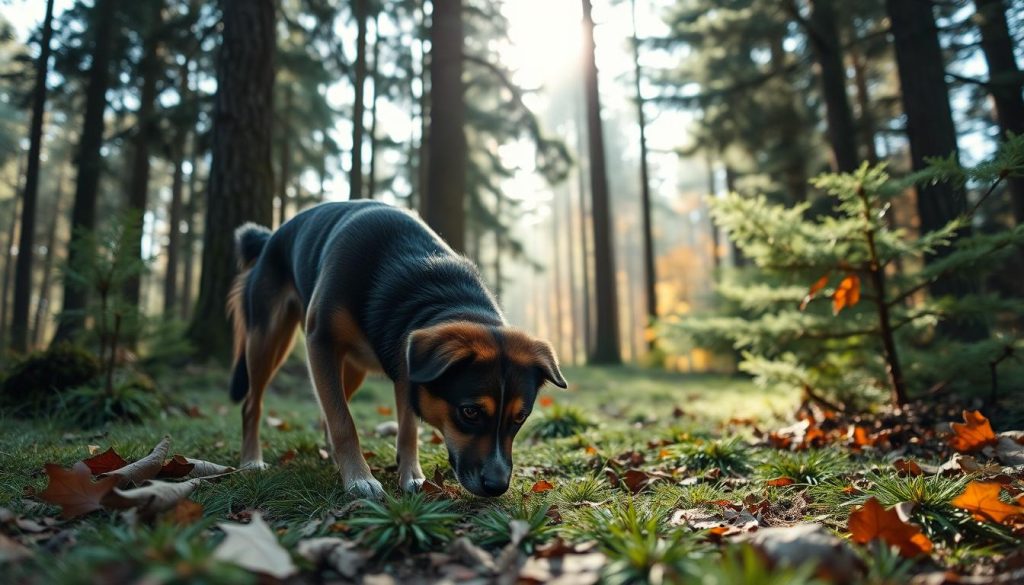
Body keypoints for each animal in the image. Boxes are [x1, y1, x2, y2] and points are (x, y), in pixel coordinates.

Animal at [226, 201, 569, 499]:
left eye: (521, 417)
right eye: (470, 412)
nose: (497, 486)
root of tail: (268, 237)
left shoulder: (407, 365)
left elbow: (407, 427)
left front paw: (412, 476)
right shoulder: (320, 341)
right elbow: (344, 421)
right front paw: (359, 478)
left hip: (352, 367)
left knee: (330, 405)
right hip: (267, 338)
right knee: (254, 404)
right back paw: (252, 461)